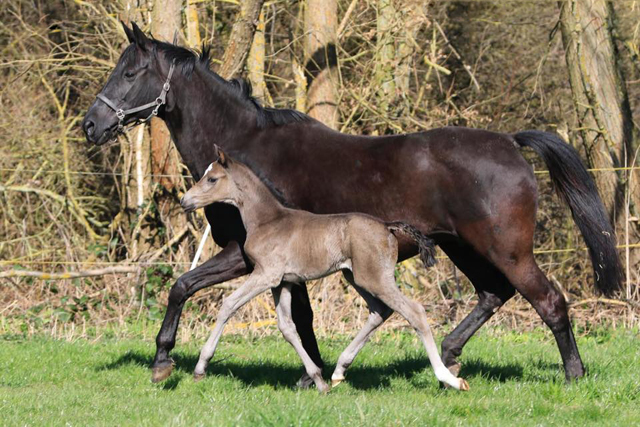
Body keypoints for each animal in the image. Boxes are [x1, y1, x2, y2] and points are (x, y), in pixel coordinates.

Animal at [180, 148, 470, 394]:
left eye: (212, 179)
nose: (184, 201)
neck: (267, 220)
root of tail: (387, 226)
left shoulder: (265, 275)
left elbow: (228, 305)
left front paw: (200, 367)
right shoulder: (283, 282)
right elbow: (287, 327)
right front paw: (318, 380)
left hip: (374, 278)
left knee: (414, 312)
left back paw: (450, 379)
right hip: (355, 276)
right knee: (380, 310)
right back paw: (339, 371)